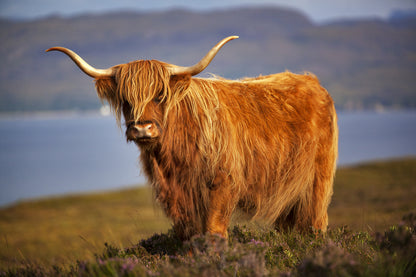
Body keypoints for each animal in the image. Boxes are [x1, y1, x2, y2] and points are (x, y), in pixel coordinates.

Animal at [46, 36, 338, 239]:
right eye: (126, 100)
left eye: (160, 95)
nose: (142, 129)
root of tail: (311, 81)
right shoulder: (176, 196)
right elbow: (189, 235)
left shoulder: (223, 183)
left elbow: (214, 232)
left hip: (317, 183)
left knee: (314, 223)